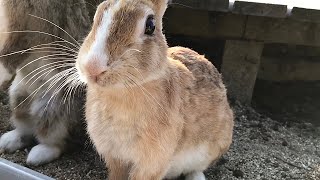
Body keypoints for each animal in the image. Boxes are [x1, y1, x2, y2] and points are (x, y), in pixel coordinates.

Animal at [0, 0, 90, 166]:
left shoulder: (20, 28)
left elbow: (10, 53)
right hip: (18, 97)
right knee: (27, 129)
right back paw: (7, 141)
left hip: (51, 110)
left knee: (59, 143)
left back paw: (36, 156)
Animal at [76, 0, 234, 179]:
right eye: (98, 14)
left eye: (150, 25)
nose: (93, 67)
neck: (123, 91)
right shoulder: (115, 158)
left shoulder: (152, 163)